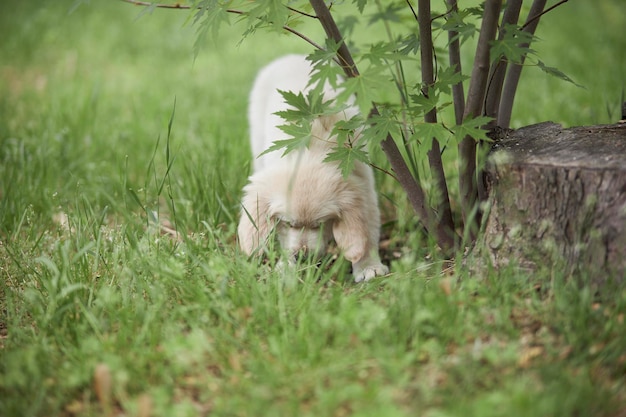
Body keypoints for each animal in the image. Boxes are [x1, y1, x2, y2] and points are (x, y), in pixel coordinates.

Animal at [236, 53, 388, 282]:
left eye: (321, 224)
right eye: (288, 223)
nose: (302, 257)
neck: (311, 149)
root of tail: (288, 57)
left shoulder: (364, 184)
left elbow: (368, 229)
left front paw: (369, 266)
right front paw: (285, 267)